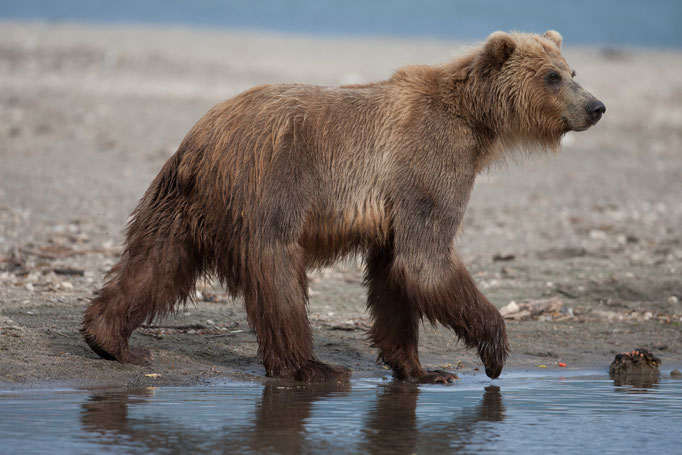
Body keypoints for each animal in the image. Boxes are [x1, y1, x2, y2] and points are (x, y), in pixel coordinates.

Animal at [82, 30, 605, 383]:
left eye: (573, 71)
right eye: (552, 76)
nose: (596, 106)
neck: (476, 123)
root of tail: (204, 140)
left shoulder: (396, 202)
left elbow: (396, 275)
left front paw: (420, 369)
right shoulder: (430, 164)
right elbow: (427, 261)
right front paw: (493, 350)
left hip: (179, 204)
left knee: (155, 264)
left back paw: (111, 340)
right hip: (271, 188)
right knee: (278, 274)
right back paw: (312, 366)